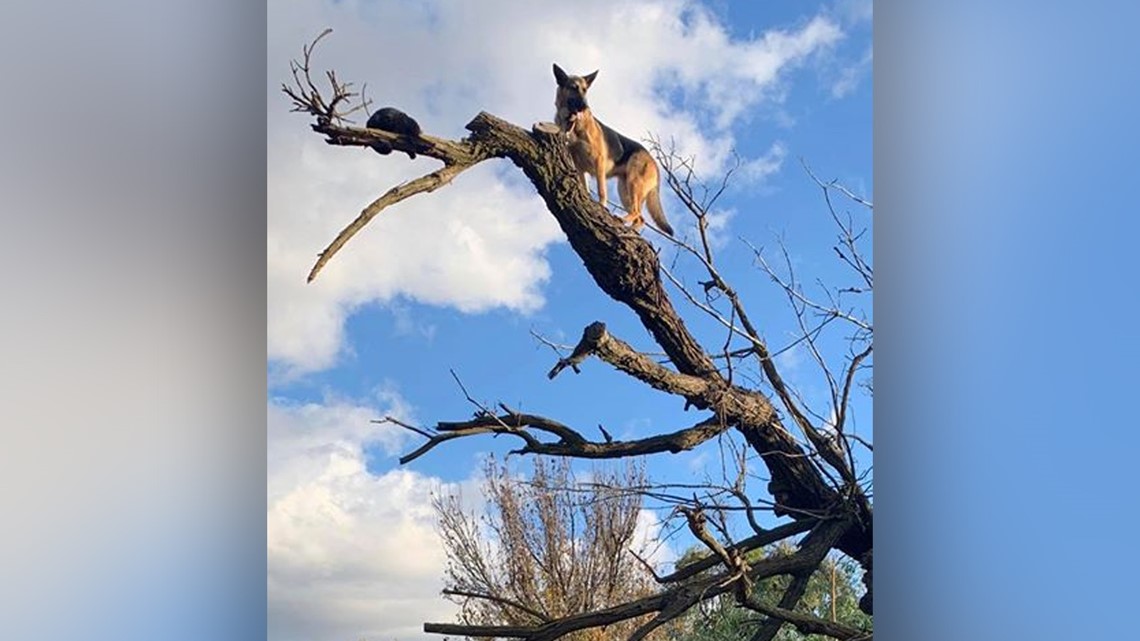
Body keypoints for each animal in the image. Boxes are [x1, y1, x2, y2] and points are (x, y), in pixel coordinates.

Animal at [549, 63, 670, 234]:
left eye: (585, 90)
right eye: (573, 88)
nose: (585, 106)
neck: (572, 124)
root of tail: (652, 160)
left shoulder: (598, 162)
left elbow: (602, 190)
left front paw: (602, 206)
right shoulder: (579, 167)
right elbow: (585, 188)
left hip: (633, 184)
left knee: (638, 213)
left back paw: (622, 220)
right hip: (624, 190)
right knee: (641, 218)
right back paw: (631, 229)